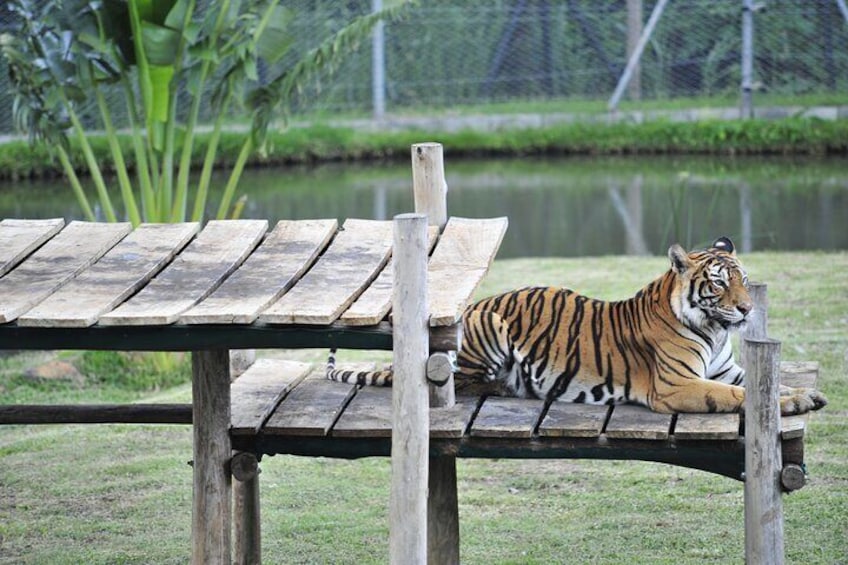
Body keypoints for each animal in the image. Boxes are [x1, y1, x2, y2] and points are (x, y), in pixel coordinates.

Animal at [326, 236, 828, 416]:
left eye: (743, 279)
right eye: (720, 283)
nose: (745, 309)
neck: (713, 328)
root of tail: (475, 304)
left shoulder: (728, 370)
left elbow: (767, 382)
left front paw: (804, 394)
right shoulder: (678, 385)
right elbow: (737, 396)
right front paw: (794, 402)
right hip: (489, 329)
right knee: (465, 381)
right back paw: (510, 387)